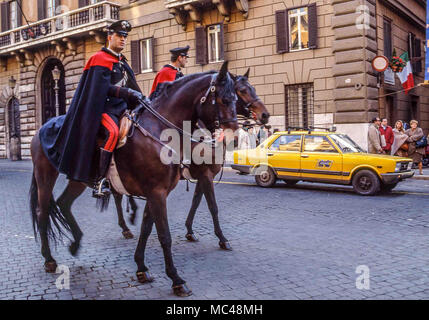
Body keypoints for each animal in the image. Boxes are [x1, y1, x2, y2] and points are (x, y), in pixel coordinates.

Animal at [29, 61, 237, 296]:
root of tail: (41, 128)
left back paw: (75, 242)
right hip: (46, 175)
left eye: (236, 98)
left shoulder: (158, 191)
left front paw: (141, 268)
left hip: (77, 178)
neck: (160, 130)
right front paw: (176, 279)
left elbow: (147, 228)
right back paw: (49, 259)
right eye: (224, 99)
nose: (232, 135)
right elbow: (164, 234)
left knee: (64, 203)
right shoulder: (158, 192)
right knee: (42, 212)